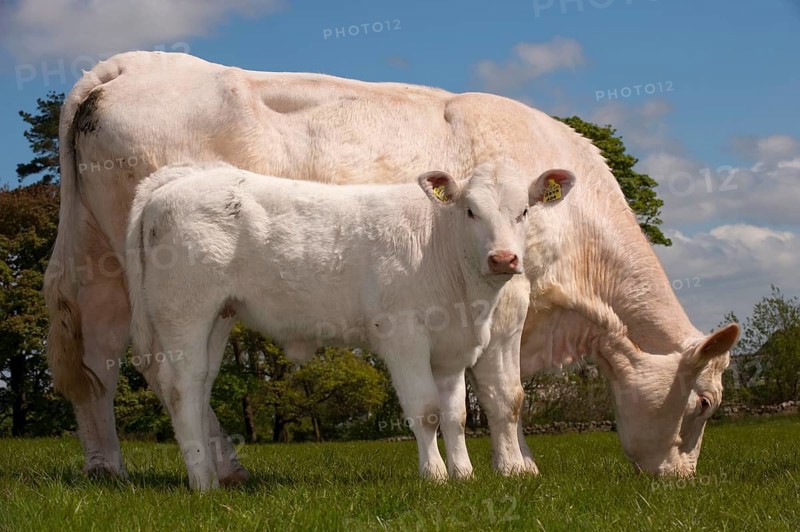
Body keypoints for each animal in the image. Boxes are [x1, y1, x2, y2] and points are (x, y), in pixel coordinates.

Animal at [124, 161, 574, 489]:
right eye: (470, 211)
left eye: (524, 211)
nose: (503, 259)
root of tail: (180, 177)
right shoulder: (403, 334)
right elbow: (426, 411)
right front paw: (434, 477)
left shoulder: (451, 347)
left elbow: (455, 416)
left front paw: (463, 475)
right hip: (185, 309)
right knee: (182, 387)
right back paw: (203, 483)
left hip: (219, 315)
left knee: (201, 384)